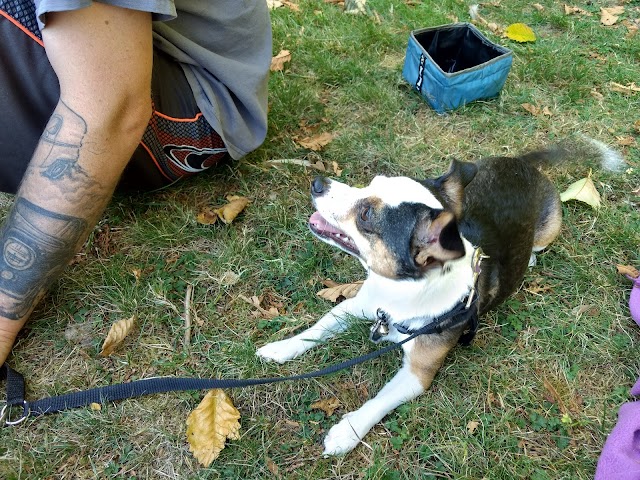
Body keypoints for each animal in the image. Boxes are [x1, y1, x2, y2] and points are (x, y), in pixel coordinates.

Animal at [255, 141, 620, 456]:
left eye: (366, 215)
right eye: (370, 183)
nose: (317, 183)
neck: (401, 295)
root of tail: (523, 163)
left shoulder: (417, 374)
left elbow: (378, 401)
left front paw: (348, 431)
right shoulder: (357, 305)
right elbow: (316, 329)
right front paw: (281, 348)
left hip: (549, 230)